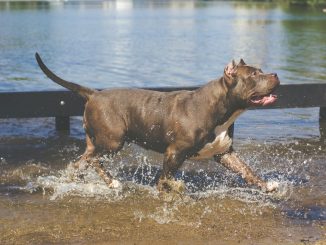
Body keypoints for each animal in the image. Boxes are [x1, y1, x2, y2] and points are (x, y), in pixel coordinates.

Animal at [35, 53, 280, 193]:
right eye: (253, 75)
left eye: (261, 71)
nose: (276, 74)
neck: (222, 108)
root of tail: (95, 94)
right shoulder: (174, 152)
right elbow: (166, 177)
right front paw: (168, 190)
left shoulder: (224, 153)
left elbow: (247, 171)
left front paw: (266, 185)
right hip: (113, 141)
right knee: (95, 160)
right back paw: (112, 183)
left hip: (97, 142)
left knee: (82, 161)